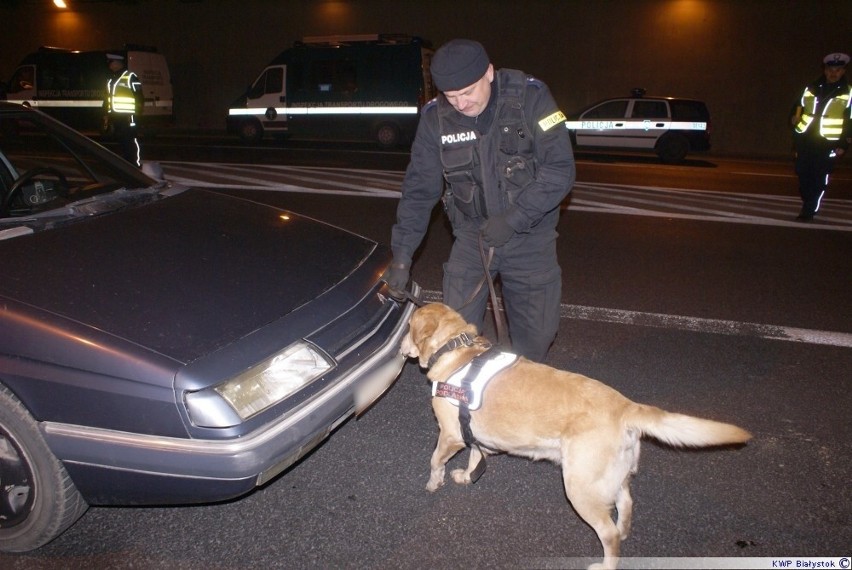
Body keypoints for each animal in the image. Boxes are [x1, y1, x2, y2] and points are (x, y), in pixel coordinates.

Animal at [400, 302, 752, 568]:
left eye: (408, 328)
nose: (402, 348)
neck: (456, 349)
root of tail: (626, 406)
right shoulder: (473, 433)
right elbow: (476, 454)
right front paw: (466, 476)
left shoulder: (450, 435)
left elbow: (436, 460)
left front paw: (434, 482)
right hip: (608, 478)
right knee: (625, 503)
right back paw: (624, 530)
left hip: (579, 487)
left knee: (607, 533)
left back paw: (606, 564)